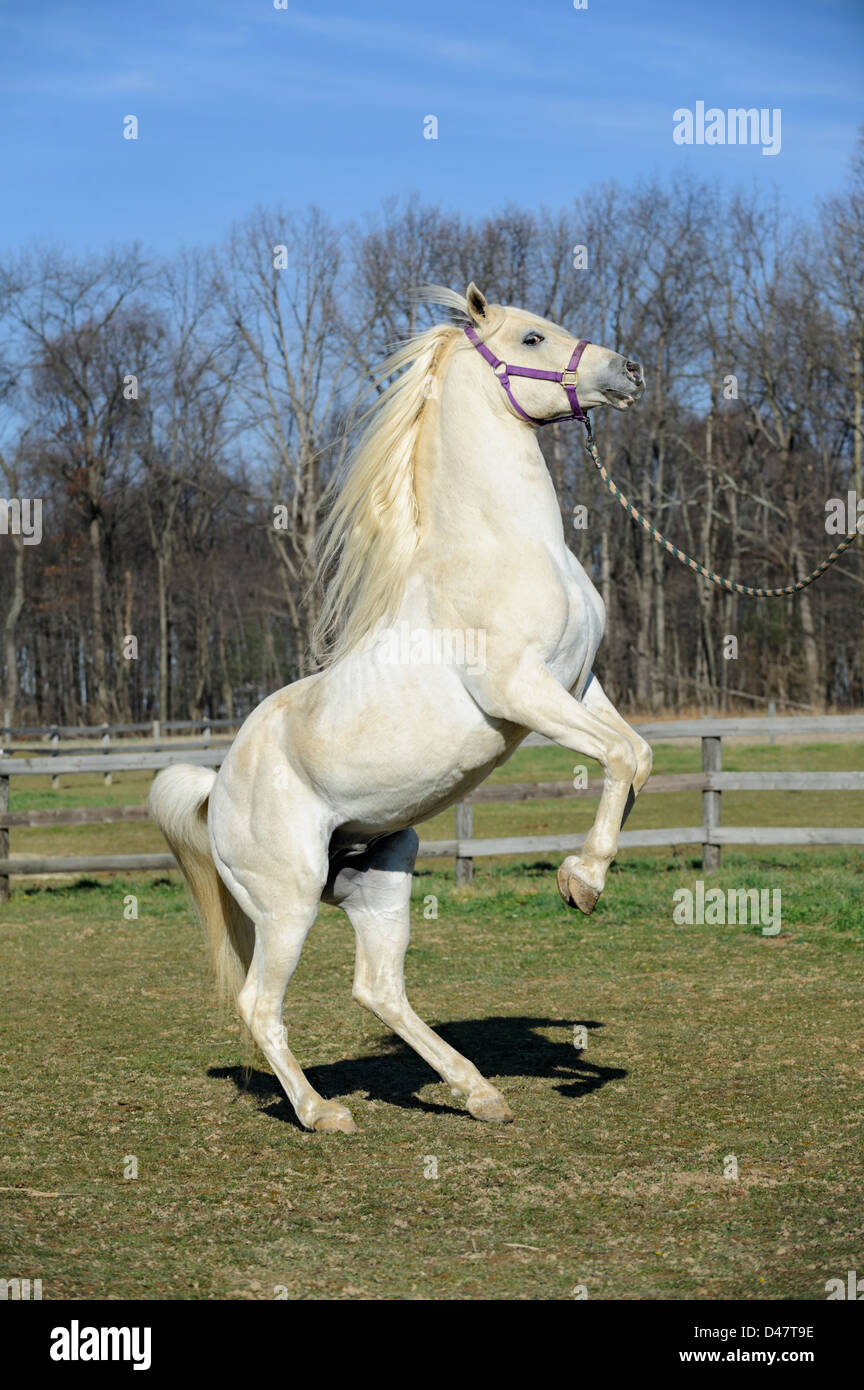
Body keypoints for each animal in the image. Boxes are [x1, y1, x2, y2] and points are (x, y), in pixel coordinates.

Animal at [150, 279, 650, 1128]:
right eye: (531, 337)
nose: (628, 371)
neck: (502, 546)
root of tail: (218, 788)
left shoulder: (581, 684)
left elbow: (636, 753)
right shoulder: (521, 691)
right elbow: (617, 754)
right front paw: (580, 881)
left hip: (381, 880)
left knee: (377, 989)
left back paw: (479, 1094)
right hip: (287, 906)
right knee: (259, 1004)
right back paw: (322, 1113)